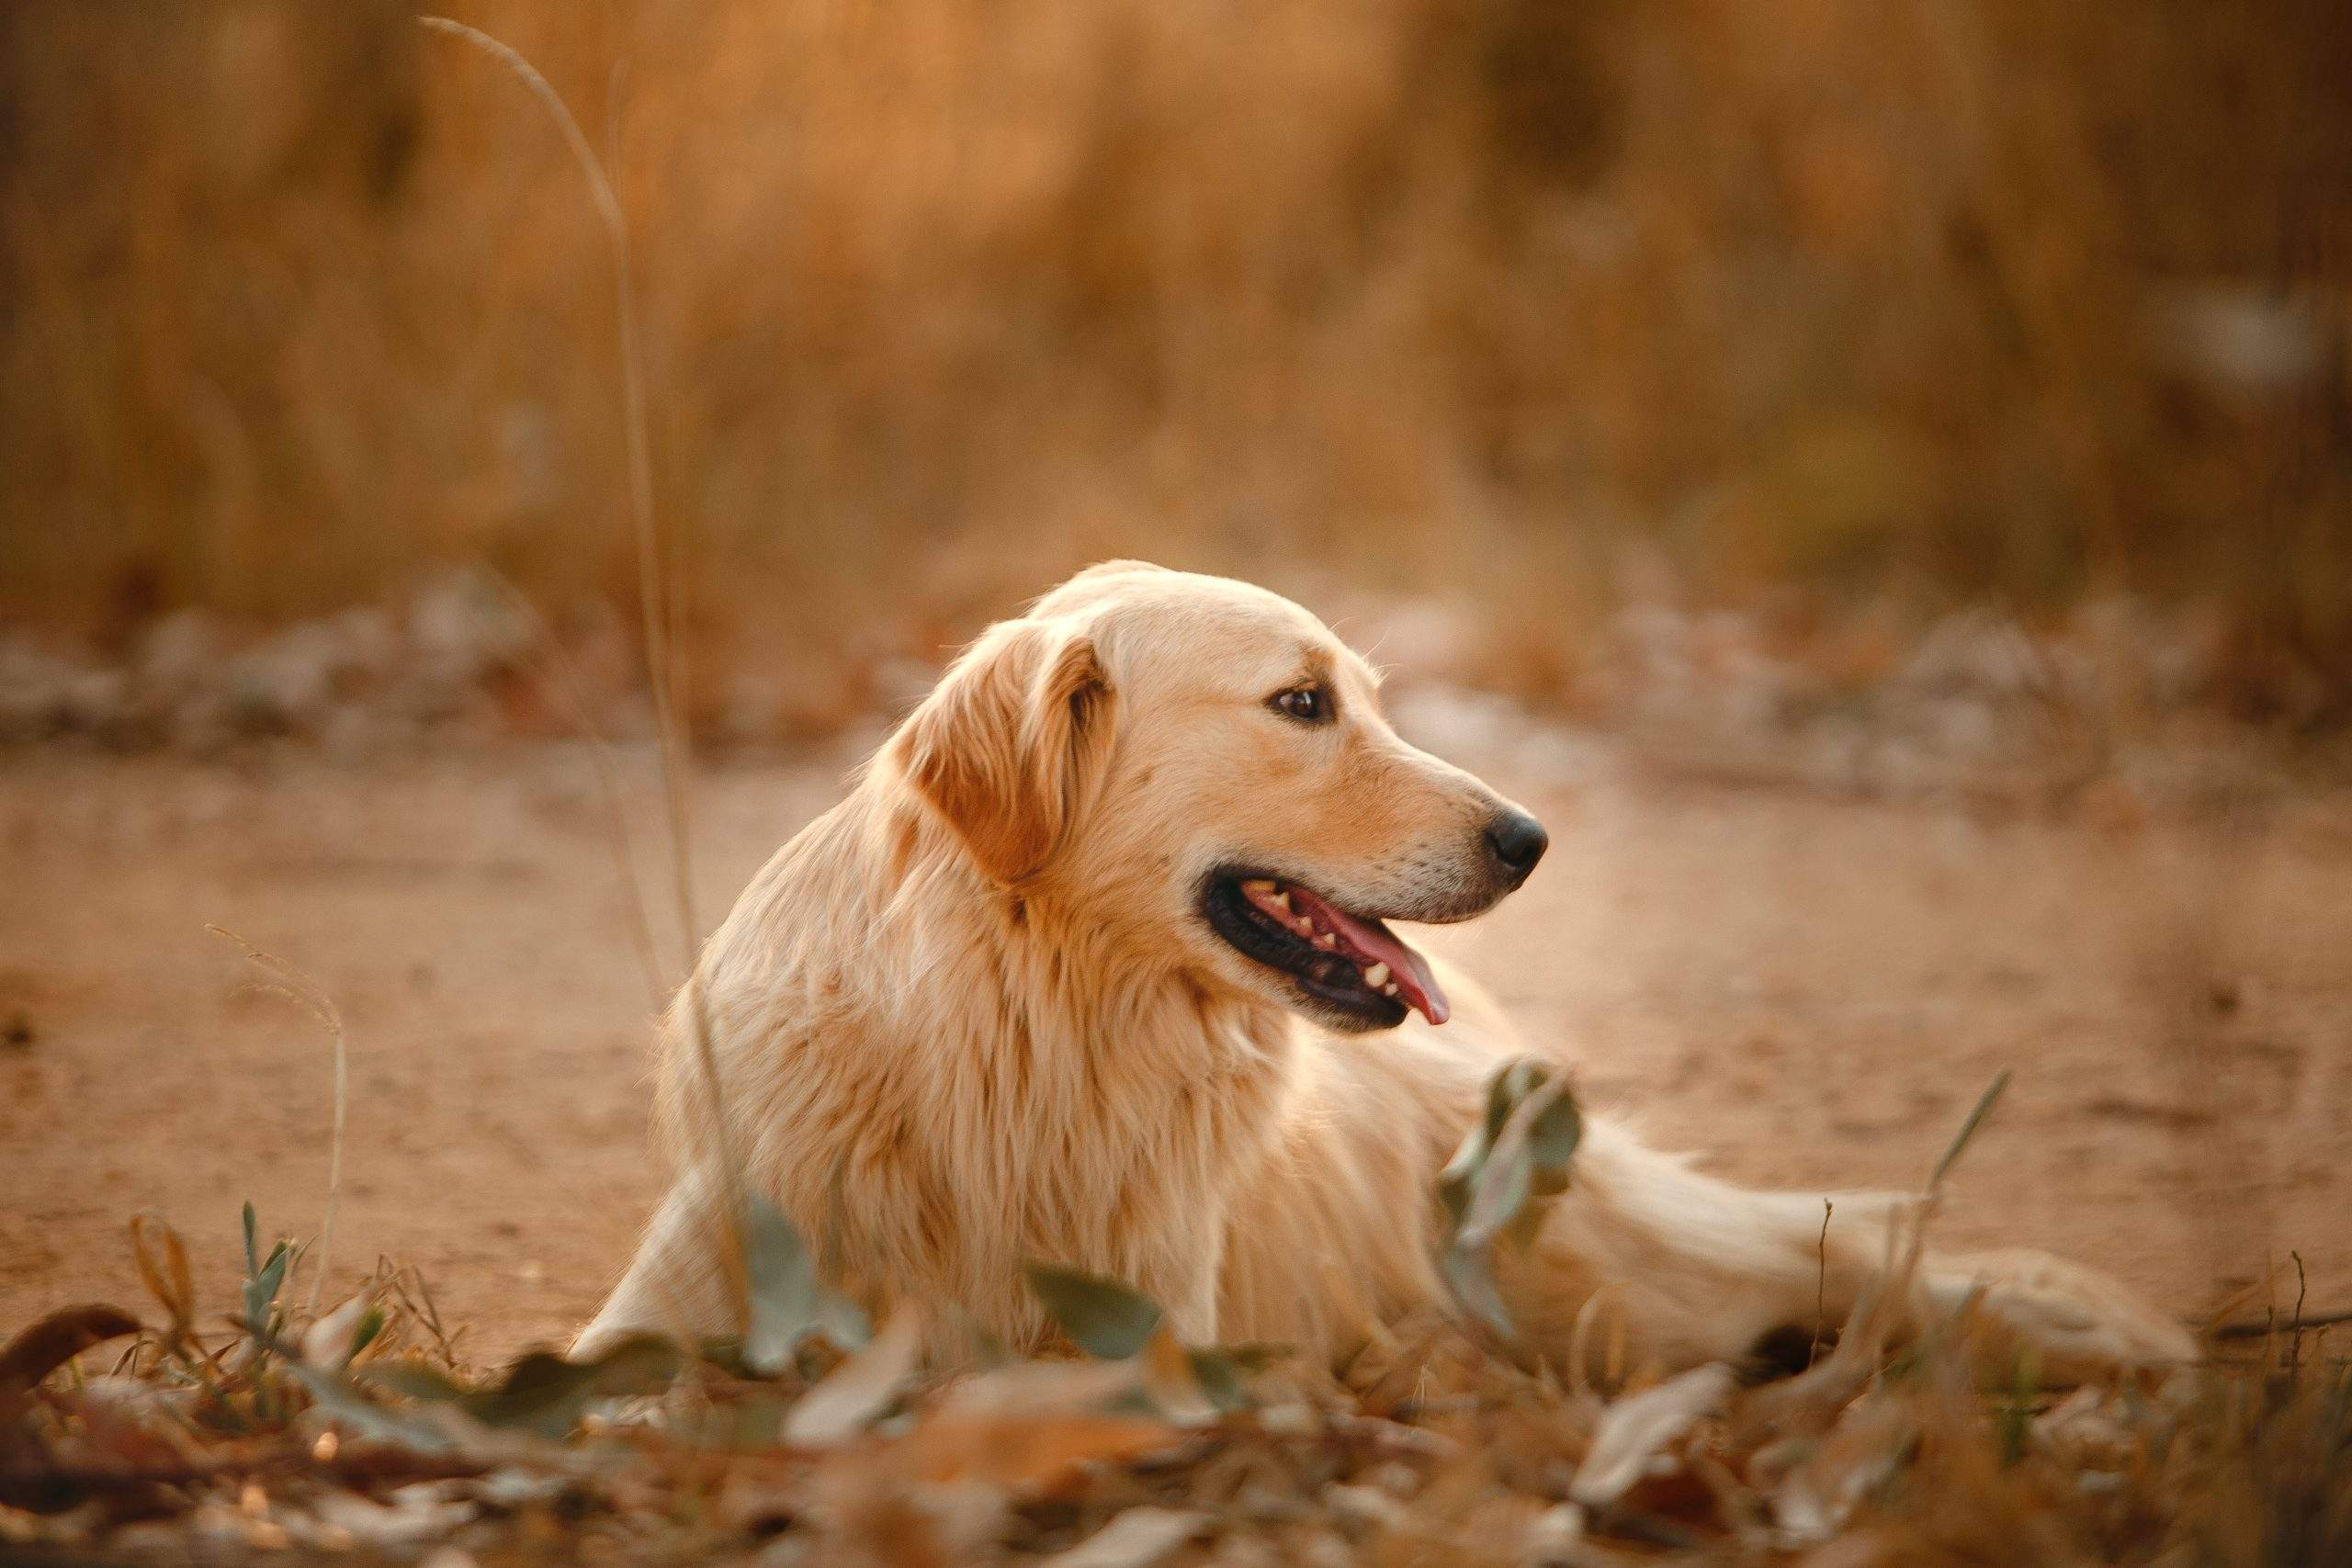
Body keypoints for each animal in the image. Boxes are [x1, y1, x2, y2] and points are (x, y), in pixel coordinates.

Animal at [578, 564, 2191, 1382]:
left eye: (1363, 691)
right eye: (1302, 703)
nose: (1532, 837)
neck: (1027, 1035)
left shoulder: (1143, 1346)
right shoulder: (670, 1305)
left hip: (1598, 1258)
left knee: (1854, 1246)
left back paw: (2088, 1334)